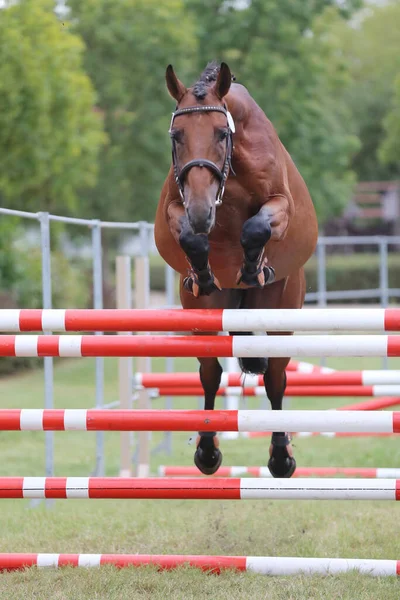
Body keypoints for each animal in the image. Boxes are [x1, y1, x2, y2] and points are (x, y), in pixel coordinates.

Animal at [154, 63, 318, 478]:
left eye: (220, 133)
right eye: (176, 136)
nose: (201, 212)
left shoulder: (281, 203)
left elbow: (257, 227)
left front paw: (252, 266)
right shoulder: (176, 207)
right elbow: (189, 237)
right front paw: (203, 269)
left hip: (280, 311)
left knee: (275, 377)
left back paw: (281, 457)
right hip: (202, 313)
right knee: (210, 372)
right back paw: (207, 452)